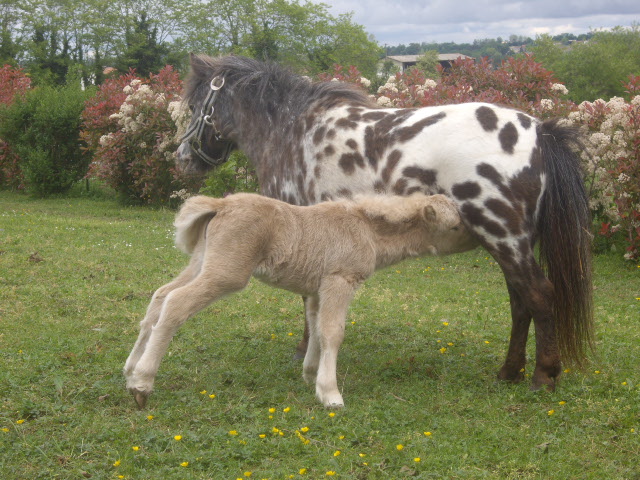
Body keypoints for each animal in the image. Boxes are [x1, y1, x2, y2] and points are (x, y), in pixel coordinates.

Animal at [125, 193, 476, 406]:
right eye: (454, 225)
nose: (477, 240)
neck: (368, 231)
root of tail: (221, 204)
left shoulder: (317, 289)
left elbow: (316, 327)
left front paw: (310, 376)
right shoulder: (340, 279)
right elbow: (333, 332)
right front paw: (331, 393)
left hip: (202, 261)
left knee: (160, 296)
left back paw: (129, 369)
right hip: (227, 273)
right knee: (176, 303)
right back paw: (142, 383)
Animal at [176, 54, 596, 392]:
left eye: (196, 105)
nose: (183, 158)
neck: (292, 129)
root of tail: (539, 132)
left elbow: (307, 299)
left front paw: (303, 350)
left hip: (504, 238)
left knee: (538, 295)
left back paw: (543, 376)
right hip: (511, 244)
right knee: (520, 301)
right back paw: (509, 372)